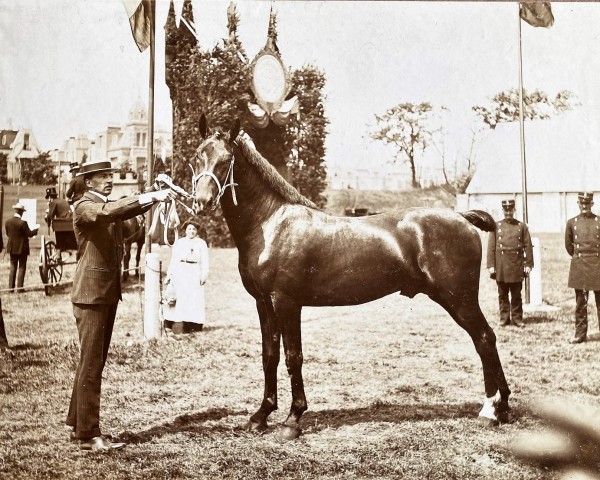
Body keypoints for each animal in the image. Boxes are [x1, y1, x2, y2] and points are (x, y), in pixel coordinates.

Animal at [192, 114, 510, 440]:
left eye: (226, 160)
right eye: (197, 156)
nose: (201, 201)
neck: (272, 224)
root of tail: (462, 217)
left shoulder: (287, 303)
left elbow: (294, 357)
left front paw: (293, 419)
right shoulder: (263, 303)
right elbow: (270, 356)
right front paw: (260, 416)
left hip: (459, 299)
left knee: (485, 339)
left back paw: (490, 411)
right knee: (485, 340)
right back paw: (503, 409)